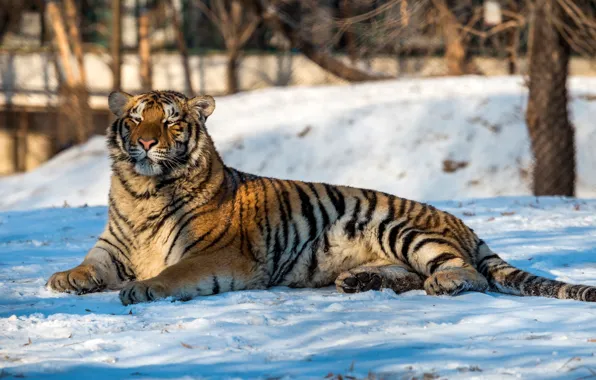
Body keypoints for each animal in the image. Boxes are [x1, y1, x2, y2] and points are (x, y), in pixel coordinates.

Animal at [46, 90, 596, 306]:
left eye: (172, 121)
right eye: (136, 119)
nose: (144, 143)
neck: (143, 190)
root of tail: (460, 222)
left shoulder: (214, 253)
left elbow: (174, 274)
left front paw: (143, 288)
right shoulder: (114, 246)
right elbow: (90, 262)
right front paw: (64, 277)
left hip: (402, 228)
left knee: (468, 273)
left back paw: (443, 283)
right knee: (409, 276)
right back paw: (358, 280)